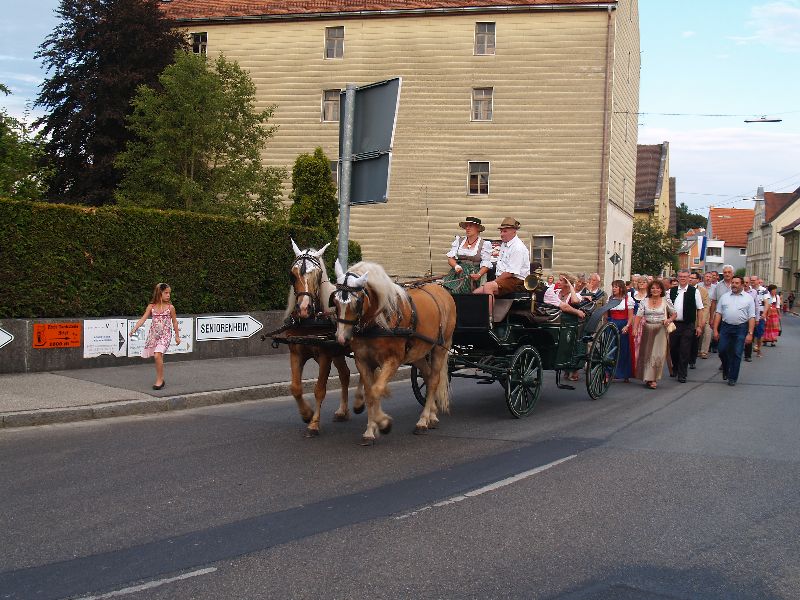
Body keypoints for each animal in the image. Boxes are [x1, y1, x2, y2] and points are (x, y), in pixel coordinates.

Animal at [283, 240, 363, 436]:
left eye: (318, 275)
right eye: (292, 274)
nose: (304, 308)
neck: (311, 320)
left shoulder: (325, 355)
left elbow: (319, 389)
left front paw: (313, 423)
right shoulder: (296, 353)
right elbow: (295, 387)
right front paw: (306, 414)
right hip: (338, 352)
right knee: (345, 374)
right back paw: (342, 411)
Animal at [332, 260, 457, 444]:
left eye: (356, 302)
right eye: (334, 301)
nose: (341, 338)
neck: (378, 322)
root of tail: (441, 289)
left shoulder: (392, 361)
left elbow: (376, 390)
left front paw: (383, 423)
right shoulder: (362, 361)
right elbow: (370, 393)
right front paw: (370, 430)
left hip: (440, 348)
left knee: (434, 379)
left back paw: (423, 421)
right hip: (418, 353)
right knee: (427, 376)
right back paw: (432, 416)